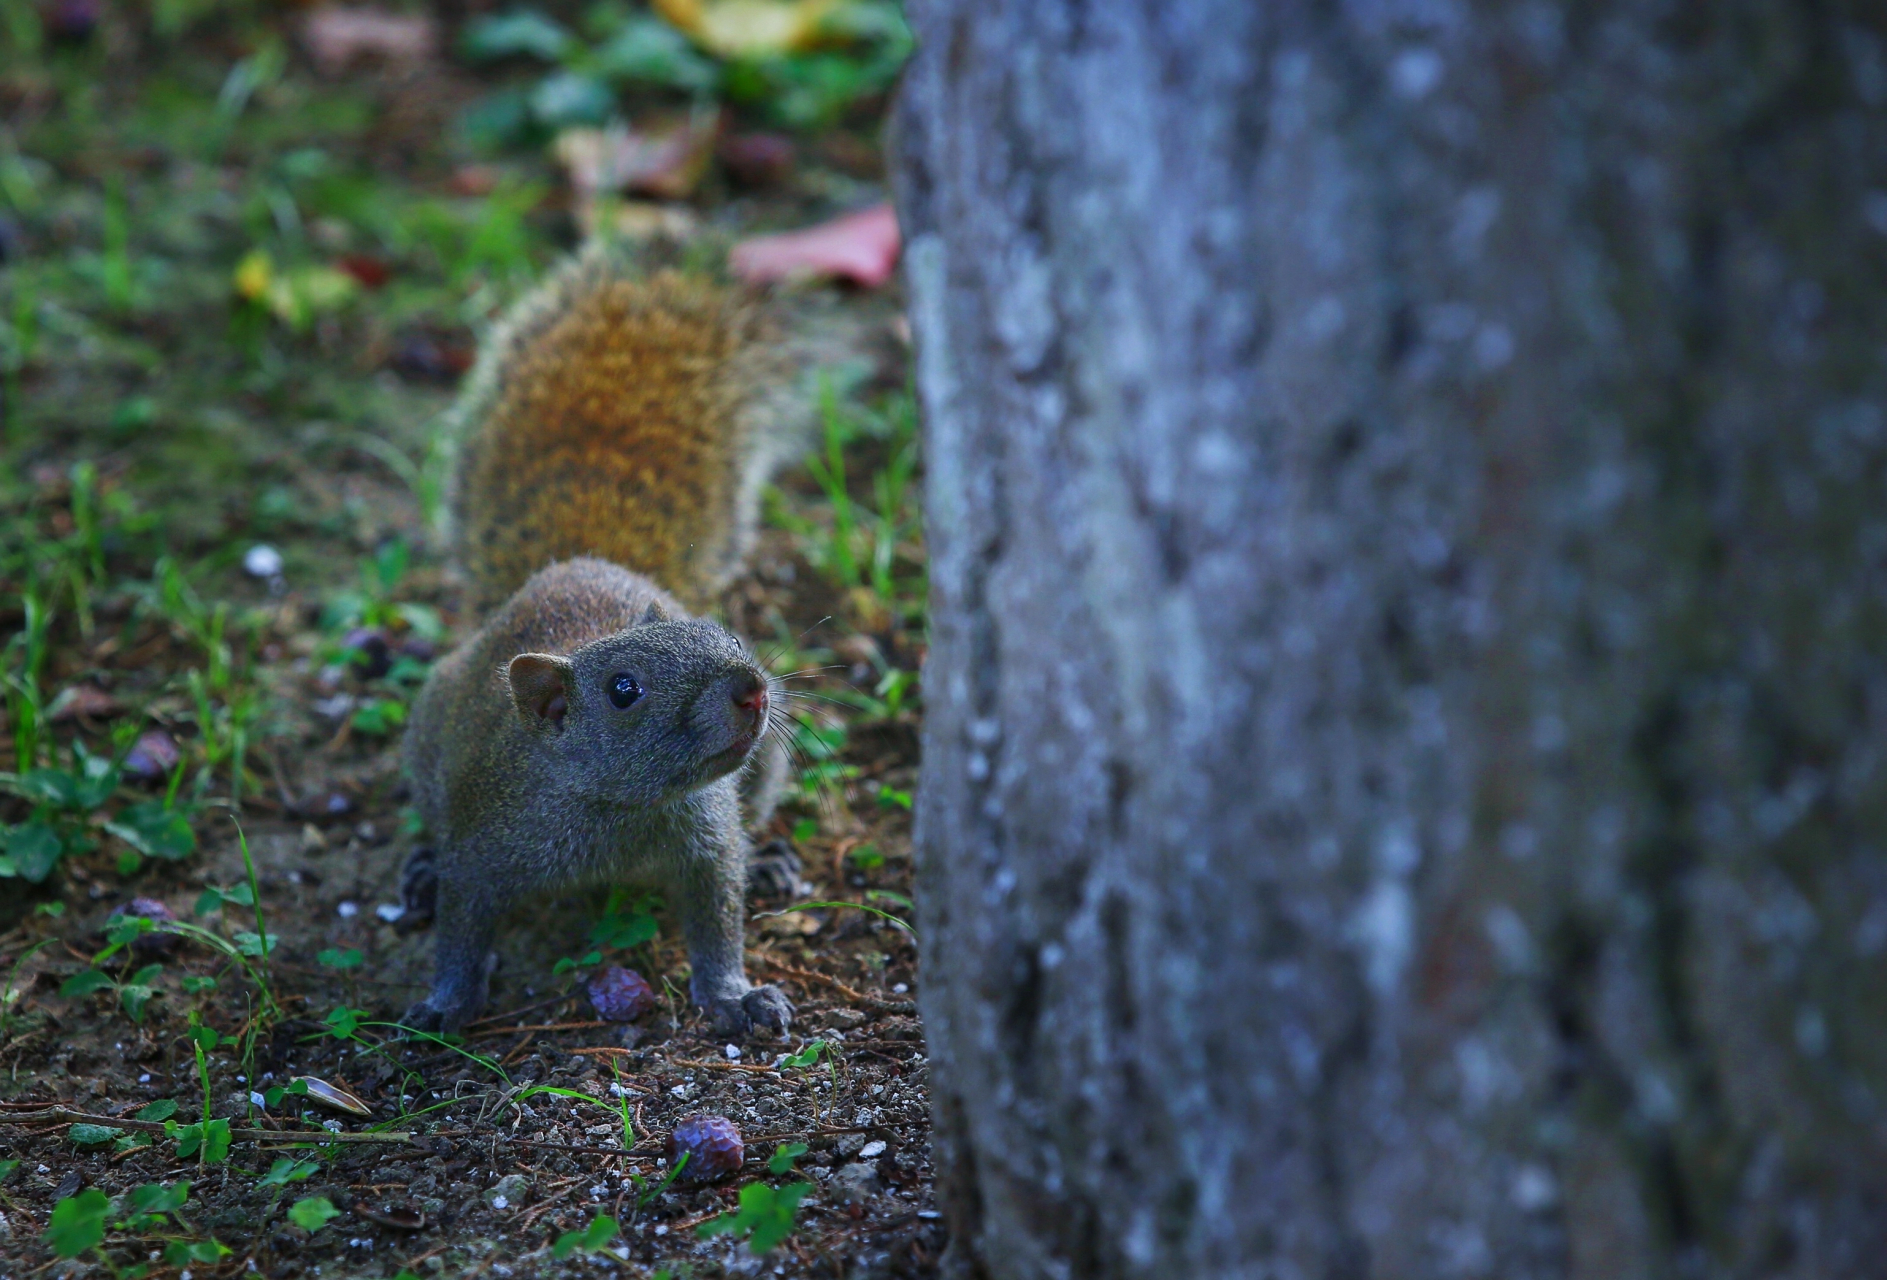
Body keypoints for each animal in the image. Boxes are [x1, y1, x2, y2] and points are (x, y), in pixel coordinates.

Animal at [394, 243, 815, 1042]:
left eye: (727, 633)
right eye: (624, 691)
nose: (751, 690)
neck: (626, 811)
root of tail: (573, 558)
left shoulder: (709, 843)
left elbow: (718, 921)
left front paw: (737, 996)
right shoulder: (485, 842)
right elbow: (462, 923)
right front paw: (442, 1005)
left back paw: (772, 858)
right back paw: (421, 869)